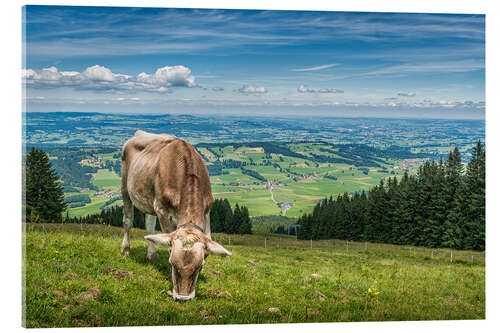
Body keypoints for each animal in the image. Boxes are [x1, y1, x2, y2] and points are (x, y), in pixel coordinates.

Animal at [120, 130, 231, 300]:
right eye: (172, 263)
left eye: (199, 266)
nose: (182, 298)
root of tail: (138, 133)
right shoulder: (161, 209)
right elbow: (167, 241)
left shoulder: (207, 211)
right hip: (125, 187)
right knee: (128, 220)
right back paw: (125, 249)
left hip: (149, 200)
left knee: (149, 226)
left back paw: (151, 255)